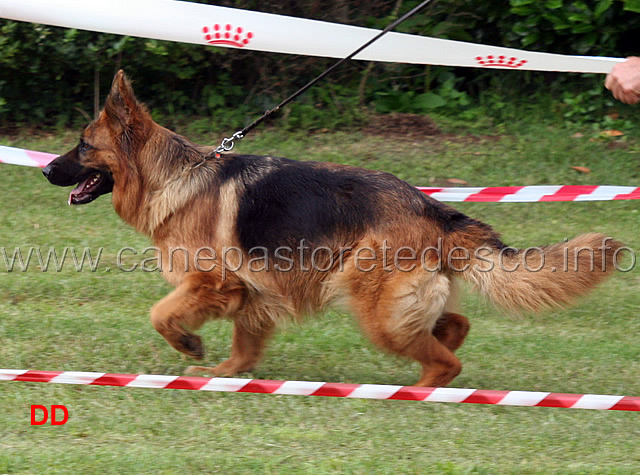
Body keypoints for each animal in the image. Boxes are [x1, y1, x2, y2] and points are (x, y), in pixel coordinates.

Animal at [43, 72, 624, 388]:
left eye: (82, 145)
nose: (46, 171)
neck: (177, 176)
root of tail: (436, 211)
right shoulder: (251, 294)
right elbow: (243, 348)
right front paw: (227, 375)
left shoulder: (212, 284)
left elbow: (160, 314)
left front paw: (188, 345)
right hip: (396, 302)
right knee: (453, 326)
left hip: (374, 308)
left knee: (445, 360)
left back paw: (419, 392)